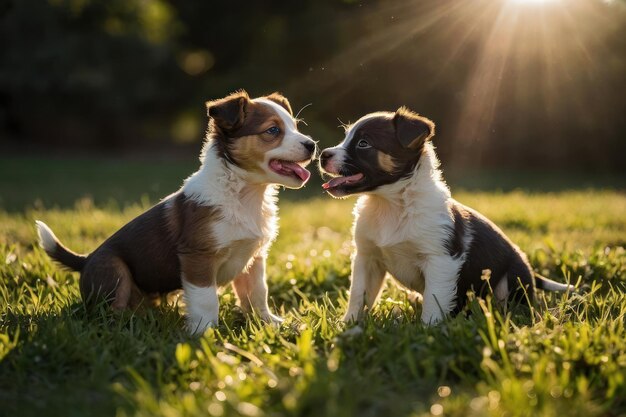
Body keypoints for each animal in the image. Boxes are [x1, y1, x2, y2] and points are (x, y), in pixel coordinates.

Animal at [36, 89, 314, 334]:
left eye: (296, 126)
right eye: (273, 130)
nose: (312, 145)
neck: (245, 194)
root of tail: (85, 260)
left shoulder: (253, 257)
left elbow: (258, 294)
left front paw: (270, 324)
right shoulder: (198, 257)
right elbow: (206, 300)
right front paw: (204, 334)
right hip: (113, 271)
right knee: (110, 313)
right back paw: (131, 326)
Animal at [320, 106, 572, 322]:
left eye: (363, 143)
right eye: (346, 138)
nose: (322, 154)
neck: (389, 204)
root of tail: (531, 271)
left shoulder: (440, 259)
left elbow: (434, 300)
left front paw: (428, 330)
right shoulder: (367, 256)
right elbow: (358, 295)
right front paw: (349, 325)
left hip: (509, 281)